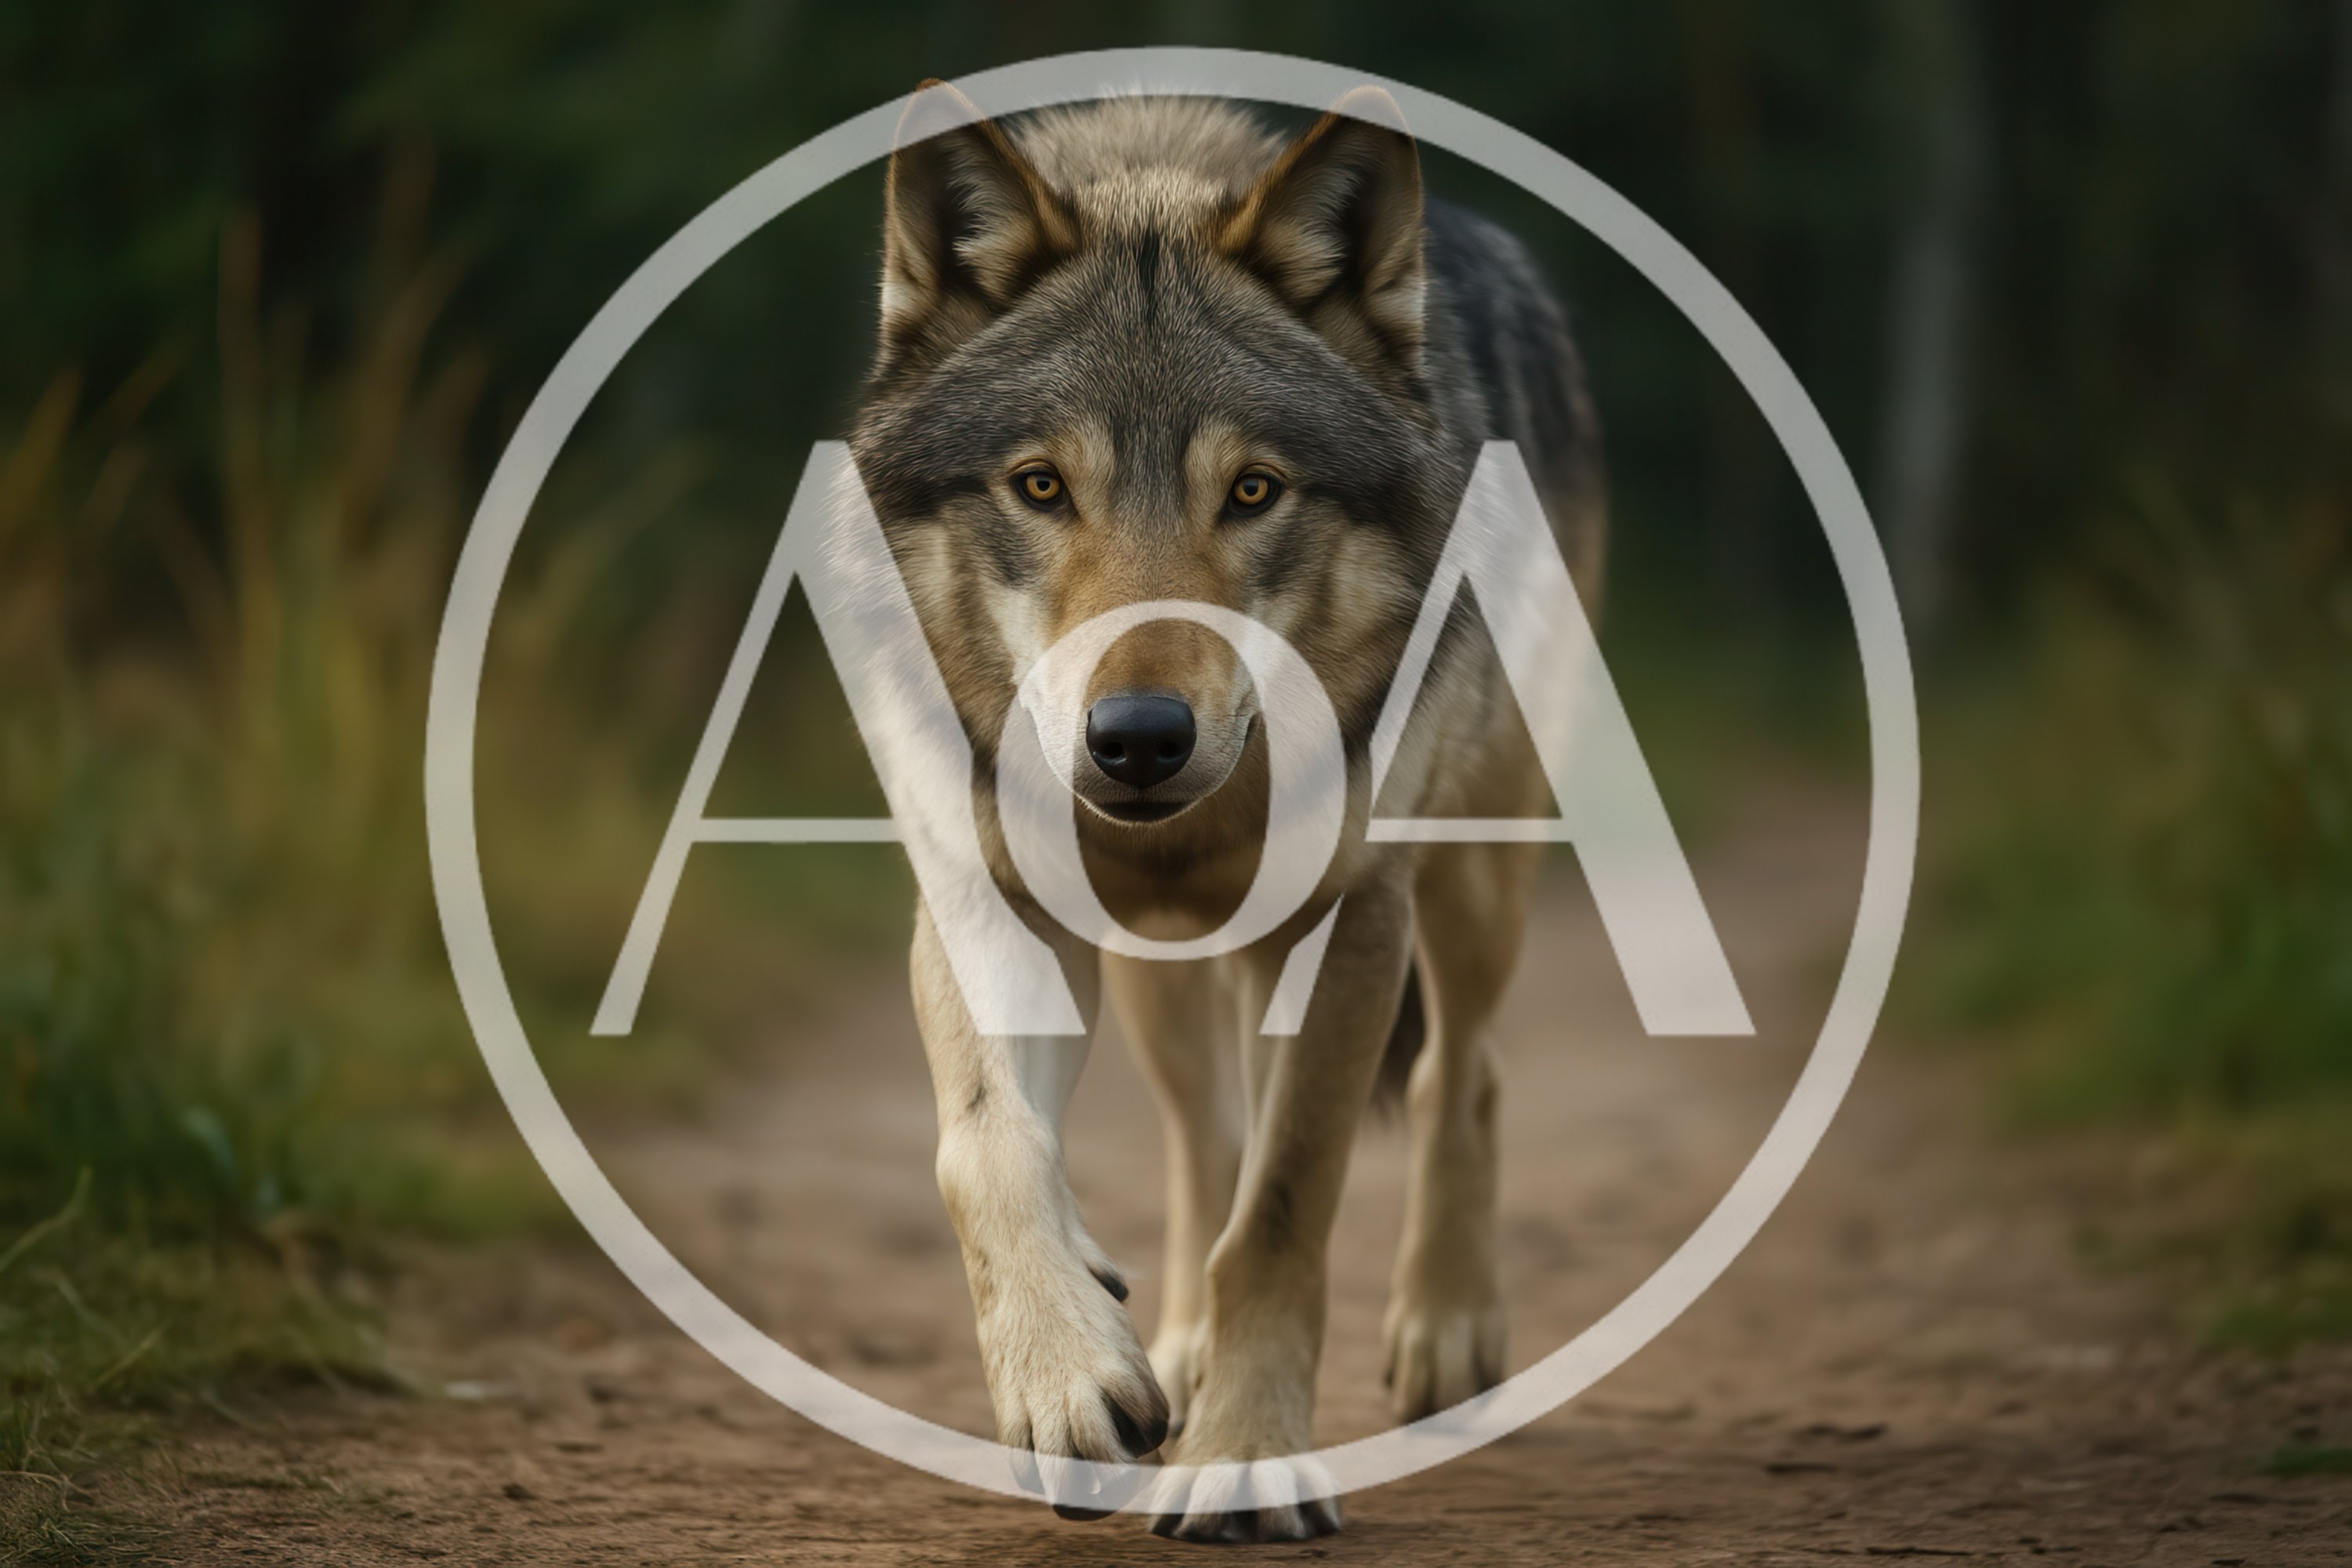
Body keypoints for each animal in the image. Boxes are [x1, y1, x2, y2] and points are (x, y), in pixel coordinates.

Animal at [845, 81, 1603, 1543]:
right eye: (1041, 486)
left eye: (1252, 491)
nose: (1138, 738)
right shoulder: (987, 900)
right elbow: (988, 1146)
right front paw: (1074, 1376)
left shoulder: (1347, 922)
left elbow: (1285, 1212)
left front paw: (1248, 1463)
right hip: (1164, 978)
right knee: (1207, 1137)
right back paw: (1175, 1349)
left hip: (1470, 877)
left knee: (1460, 1071)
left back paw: (1445, 1333)